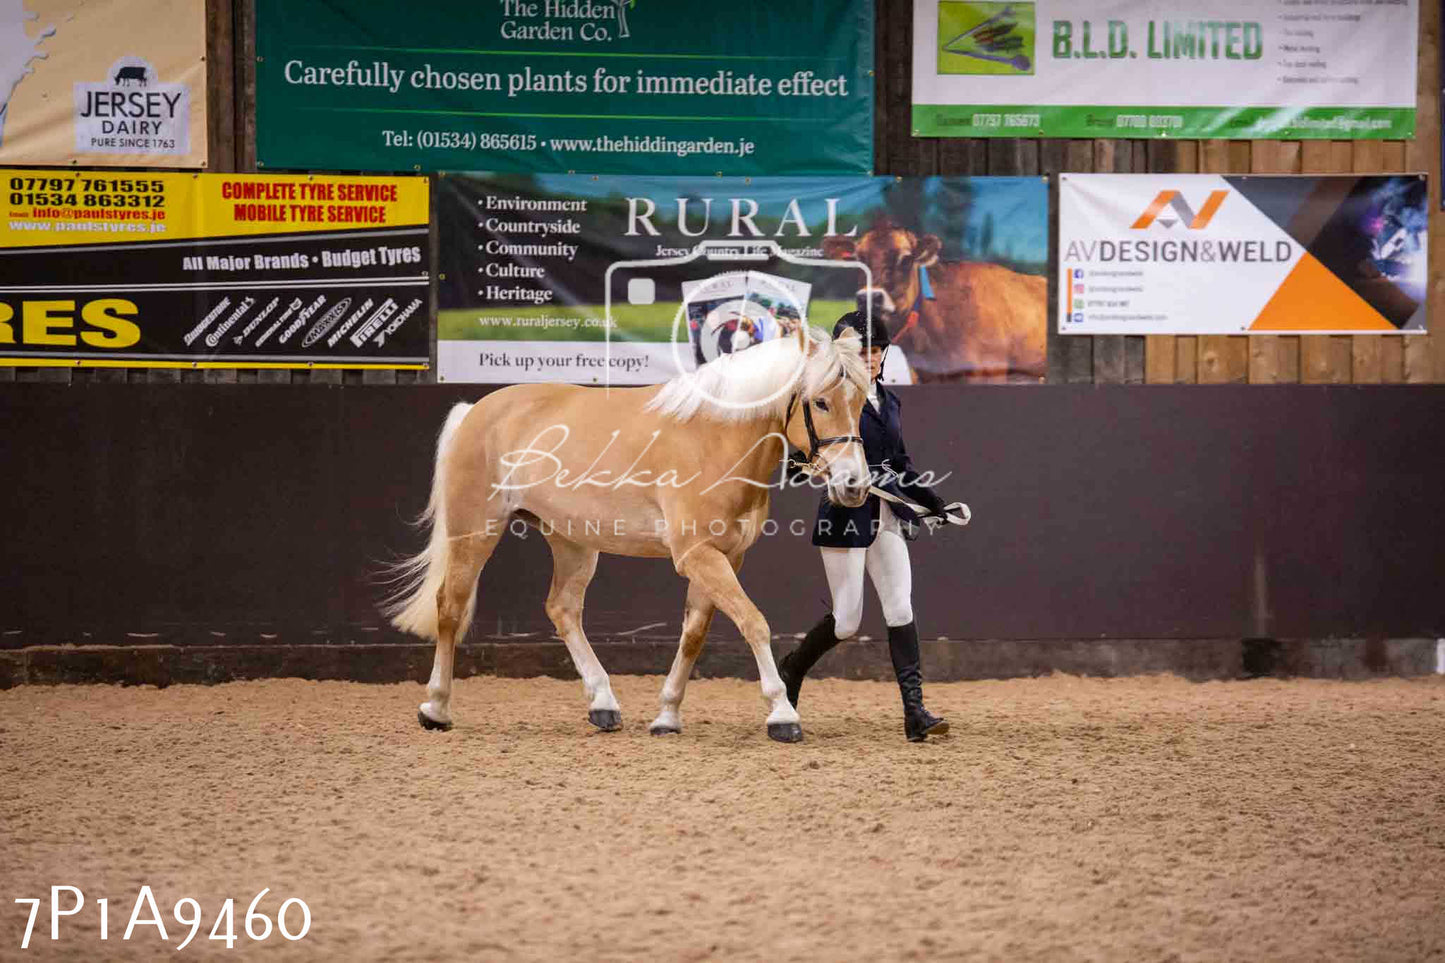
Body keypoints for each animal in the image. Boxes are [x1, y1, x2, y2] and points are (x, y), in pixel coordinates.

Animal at [384, 329, 867, 740]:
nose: (855, 485)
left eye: (862, 403)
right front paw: (782, 713)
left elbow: (694, 633)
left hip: (572, 541)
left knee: (562, 608)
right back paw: (436, 708)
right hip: (475, 532)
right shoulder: (698, 555)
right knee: (450, 606)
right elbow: (754, 622)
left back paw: (603, 704)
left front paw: (667, 715)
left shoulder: (724, 556)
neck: (713, 438)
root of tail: (477, 411)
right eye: (821, 403)